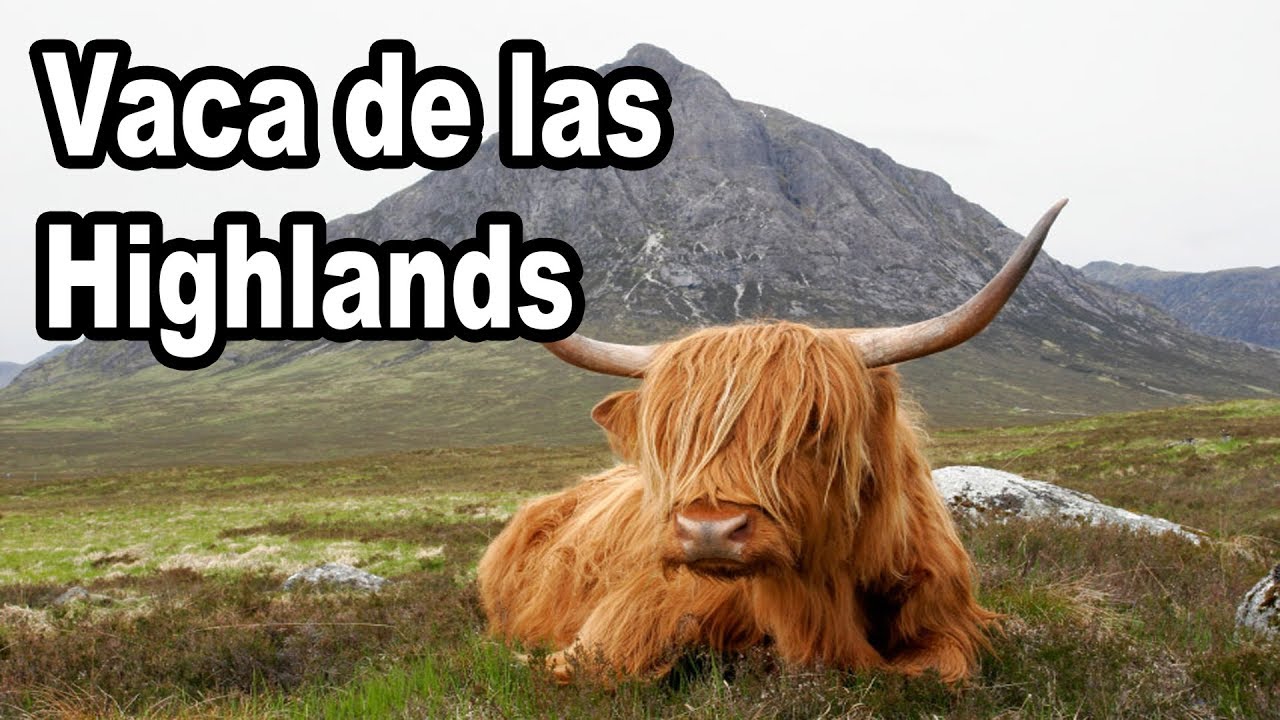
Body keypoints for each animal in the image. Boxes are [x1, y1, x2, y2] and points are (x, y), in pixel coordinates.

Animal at [478, 200, 1068, 683]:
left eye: (813, 423)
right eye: (672, 435)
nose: (709, 531)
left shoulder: (951, 620)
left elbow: (937, 670)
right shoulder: (629, 616)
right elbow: (600, 666)